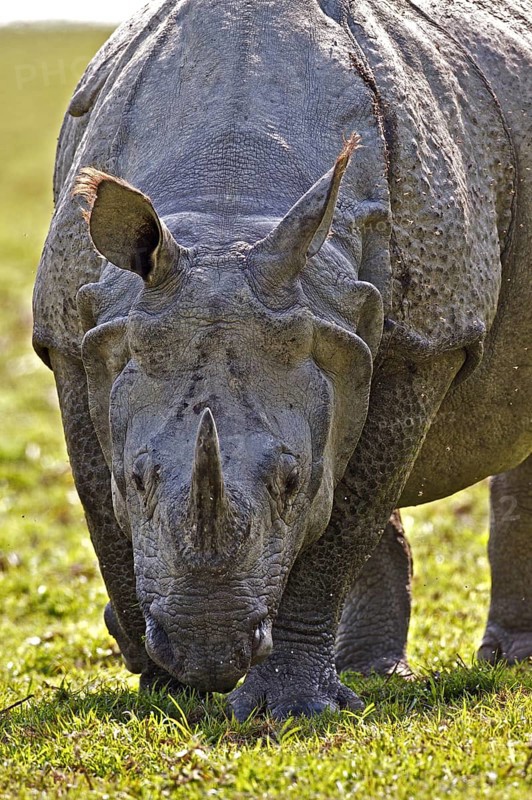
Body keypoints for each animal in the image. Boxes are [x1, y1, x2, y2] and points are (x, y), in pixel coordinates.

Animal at [33, 0, 531, 719]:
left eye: (290, 481)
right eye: (140, 478)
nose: (207, 651)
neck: (228, 209)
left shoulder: (426, 341)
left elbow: (344, 515)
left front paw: (285, 711)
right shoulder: (78, 338)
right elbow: (101, 508)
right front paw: (164, 690)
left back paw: (501, 662)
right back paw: (376, 672)